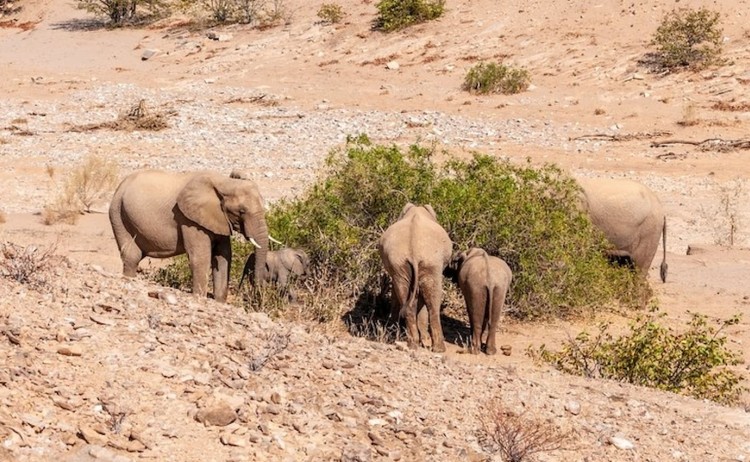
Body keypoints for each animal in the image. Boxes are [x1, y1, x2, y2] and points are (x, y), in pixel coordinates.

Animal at [108, 169, 270, 303]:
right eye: (242, 211)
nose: (257, 293)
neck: (224, 182)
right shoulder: (189, 219)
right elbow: (201, 257)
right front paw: (200, 297)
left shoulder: (219, 219)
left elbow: (223, 256)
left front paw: (219, 302)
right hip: (118, 213)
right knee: (132, 256)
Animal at [378, 203, 453, 352]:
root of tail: (413, 249)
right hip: (431, 262)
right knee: (433, 301)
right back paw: (438, 348)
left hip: (399, 263)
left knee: (404, 293)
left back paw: (413, 344)